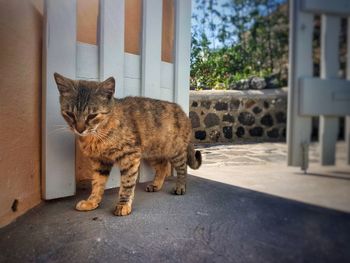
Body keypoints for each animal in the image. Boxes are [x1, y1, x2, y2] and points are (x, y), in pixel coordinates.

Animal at [53, 72, 201, 217]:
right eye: (69, 114)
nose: (79, 129)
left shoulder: (130, 156)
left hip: (175, 151)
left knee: (182, 168)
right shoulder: (100, 161)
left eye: (92, 115)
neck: (97, 135)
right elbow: (97, 183)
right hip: (152, 152)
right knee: (163, 166)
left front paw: (123, 204)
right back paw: (156, 185)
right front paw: (92, 201)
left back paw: (180, 187)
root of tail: (183, 112)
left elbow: (127, 183)